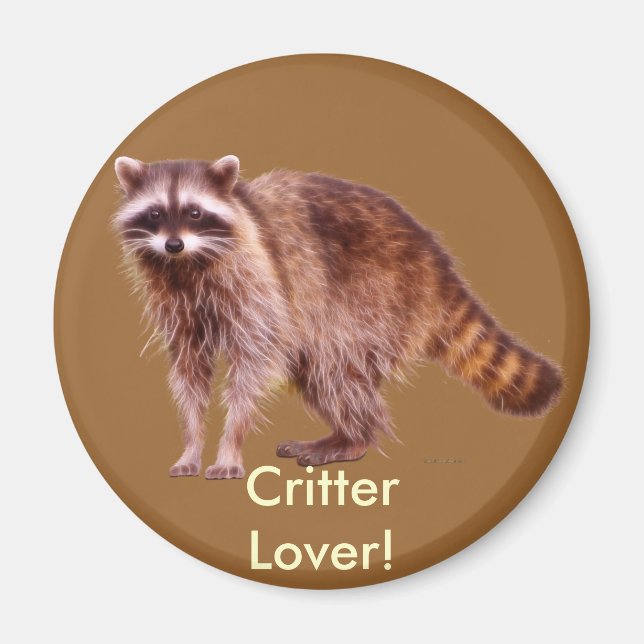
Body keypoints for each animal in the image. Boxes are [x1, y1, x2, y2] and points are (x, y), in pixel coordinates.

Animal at [113, 155, 563, 479]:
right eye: (155, 213)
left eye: (194, 212)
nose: (173, 245)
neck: (186, 266)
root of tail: (436, 263)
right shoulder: (176, 303)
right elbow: (189, 369)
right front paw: (192, 442)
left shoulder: (257, 280)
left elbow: (254, 362)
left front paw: (230, 443)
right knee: (320, 370)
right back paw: (347, 432)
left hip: (374, 296)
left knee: (336, 366)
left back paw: (355, 438)